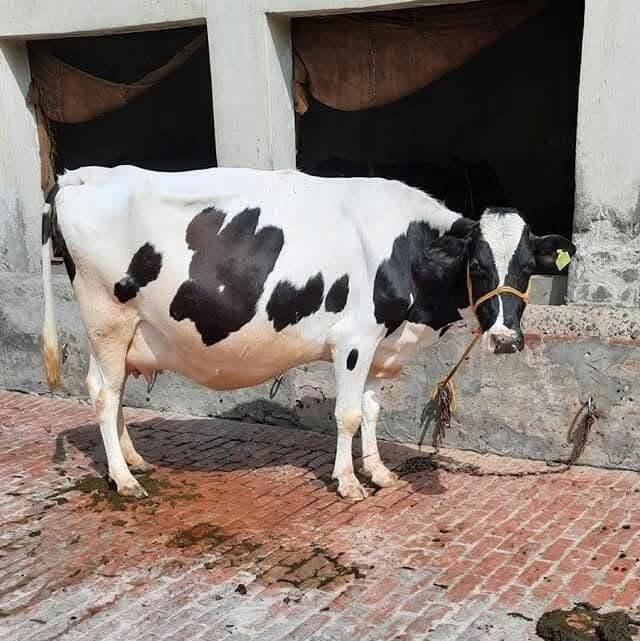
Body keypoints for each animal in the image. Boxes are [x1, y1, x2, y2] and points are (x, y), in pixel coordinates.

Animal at [41, 165, 575, 500]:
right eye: (479, 266)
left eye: (527, 268)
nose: (506, 339)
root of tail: (84, 175)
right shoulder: (354, 340)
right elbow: (348, 415)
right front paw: (348, 482)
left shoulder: (381, 343)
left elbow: (373, 411)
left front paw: (379, 472)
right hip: (107, 317)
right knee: (104, 394)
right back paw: (123, 480)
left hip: (124, 331)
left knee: (111, 391)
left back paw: (135, 462)